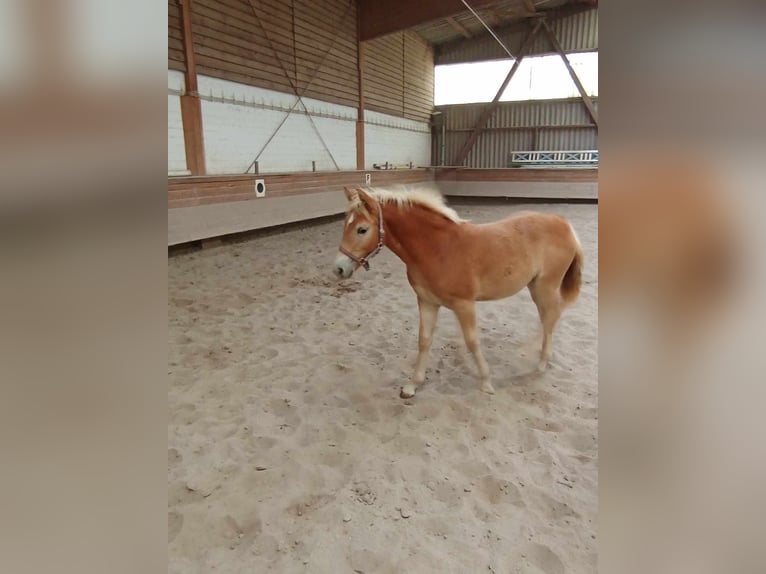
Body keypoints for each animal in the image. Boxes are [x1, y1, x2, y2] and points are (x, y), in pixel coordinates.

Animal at [332, 187, 584, 398]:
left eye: (362, 229)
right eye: (345, 225)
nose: (339, 269)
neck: (438, 248)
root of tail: (564, 223)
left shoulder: (464, 304)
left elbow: (472, 342)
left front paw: (486, 382)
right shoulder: (426, 302)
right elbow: (424, 341)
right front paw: (412, 386)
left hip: (546, 286)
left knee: (551, 316)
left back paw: (541, 363)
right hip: (534, 286)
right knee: (547, 316)